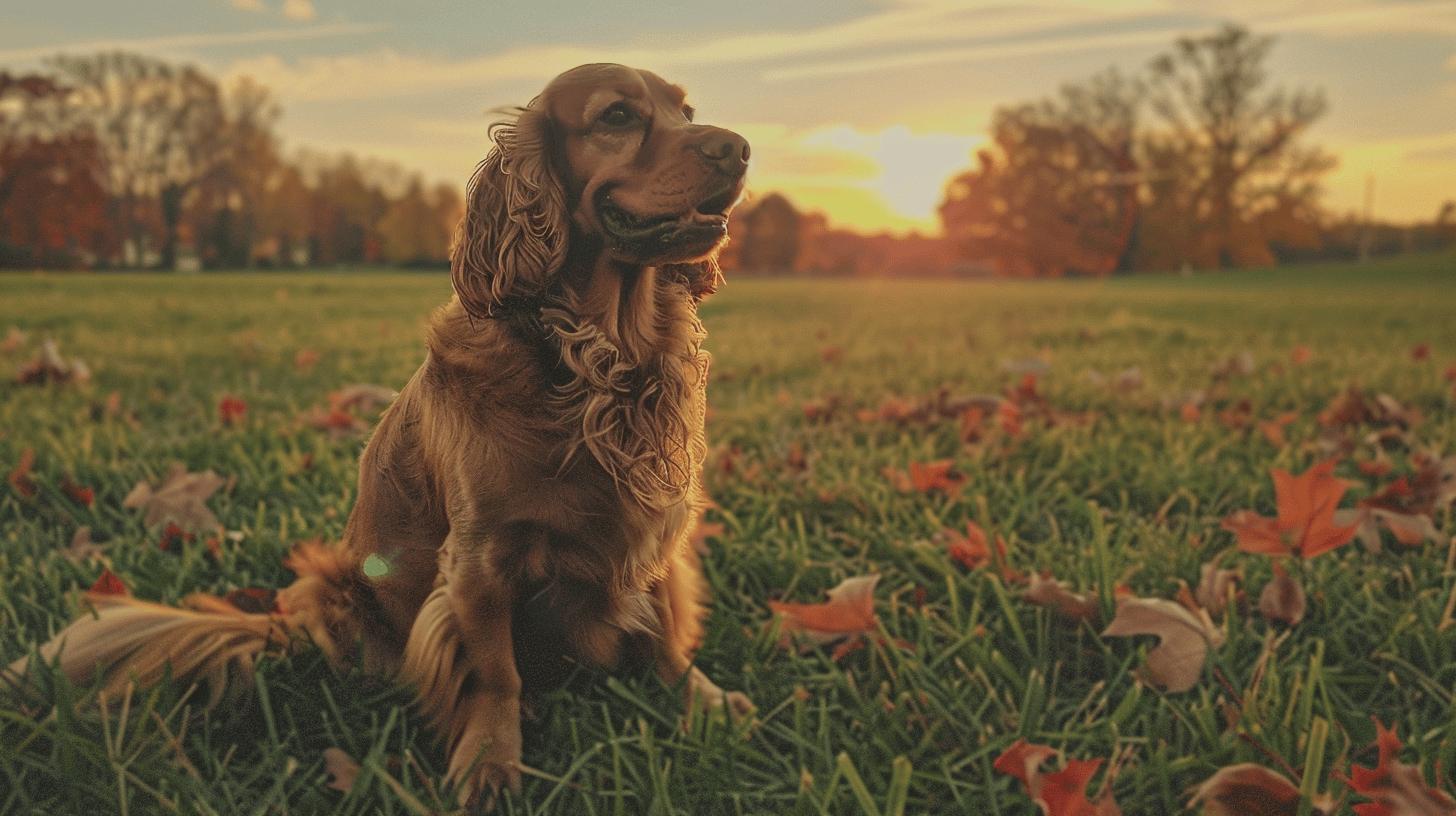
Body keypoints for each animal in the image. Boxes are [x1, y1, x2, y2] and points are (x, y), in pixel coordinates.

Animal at [11, 62, 757, 804]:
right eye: (616, 117)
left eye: (687, 112)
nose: (740, 147)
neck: (599, 357)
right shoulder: (479, 559)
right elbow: (496, 673)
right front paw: (491, 763)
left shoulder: (651, 520)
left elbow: (666, 629)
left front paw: (705, 702)